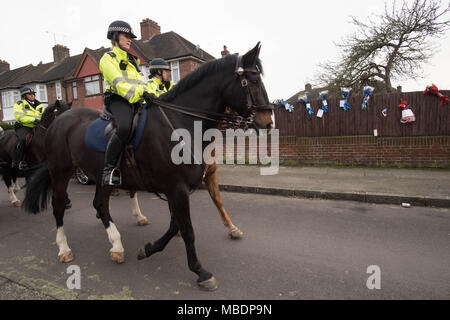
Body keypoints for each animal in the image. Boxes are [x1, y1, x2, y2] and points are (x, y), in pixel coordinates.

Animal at [23, 43, 274, 292]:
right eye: (251, 81)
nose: (268, 122)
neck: (180, 124)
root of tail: (59, 120)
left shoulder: (177, 190)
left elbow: (176, 226)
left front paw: (149, 249)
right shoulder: (176, 189)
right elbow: (187, 230)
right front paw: (201, 272)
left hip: (101, 176)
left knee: (100, 205)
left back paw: (116, 245)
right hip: (60, 172)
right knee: (58, 206)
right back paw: (64, 249)